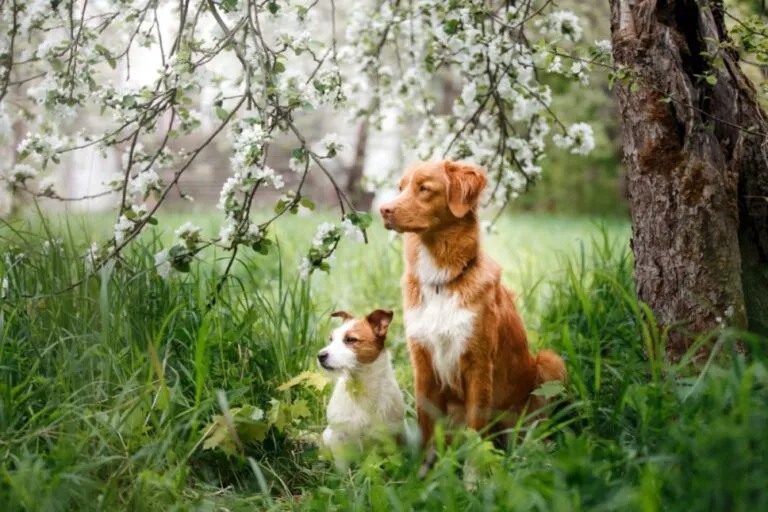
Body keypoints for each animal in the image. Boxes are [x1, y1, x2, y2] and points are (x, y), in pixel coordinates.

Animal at [316, 308, 404, 464]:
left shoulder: (391, 437)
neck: (361, 388)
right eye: (331, 339)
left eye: (351, 339)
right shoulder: (339, 439)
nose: (320, 355)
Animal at [378, 160, 564, 448]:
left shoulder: (478, 361)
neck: (441, 281)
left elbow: (477, 424)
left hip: (550, 362)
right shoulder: (423, 361)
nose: (383, 210)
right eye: (401, 188)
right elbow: (425, 424)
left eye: (424, 188)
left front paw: (476, 460)